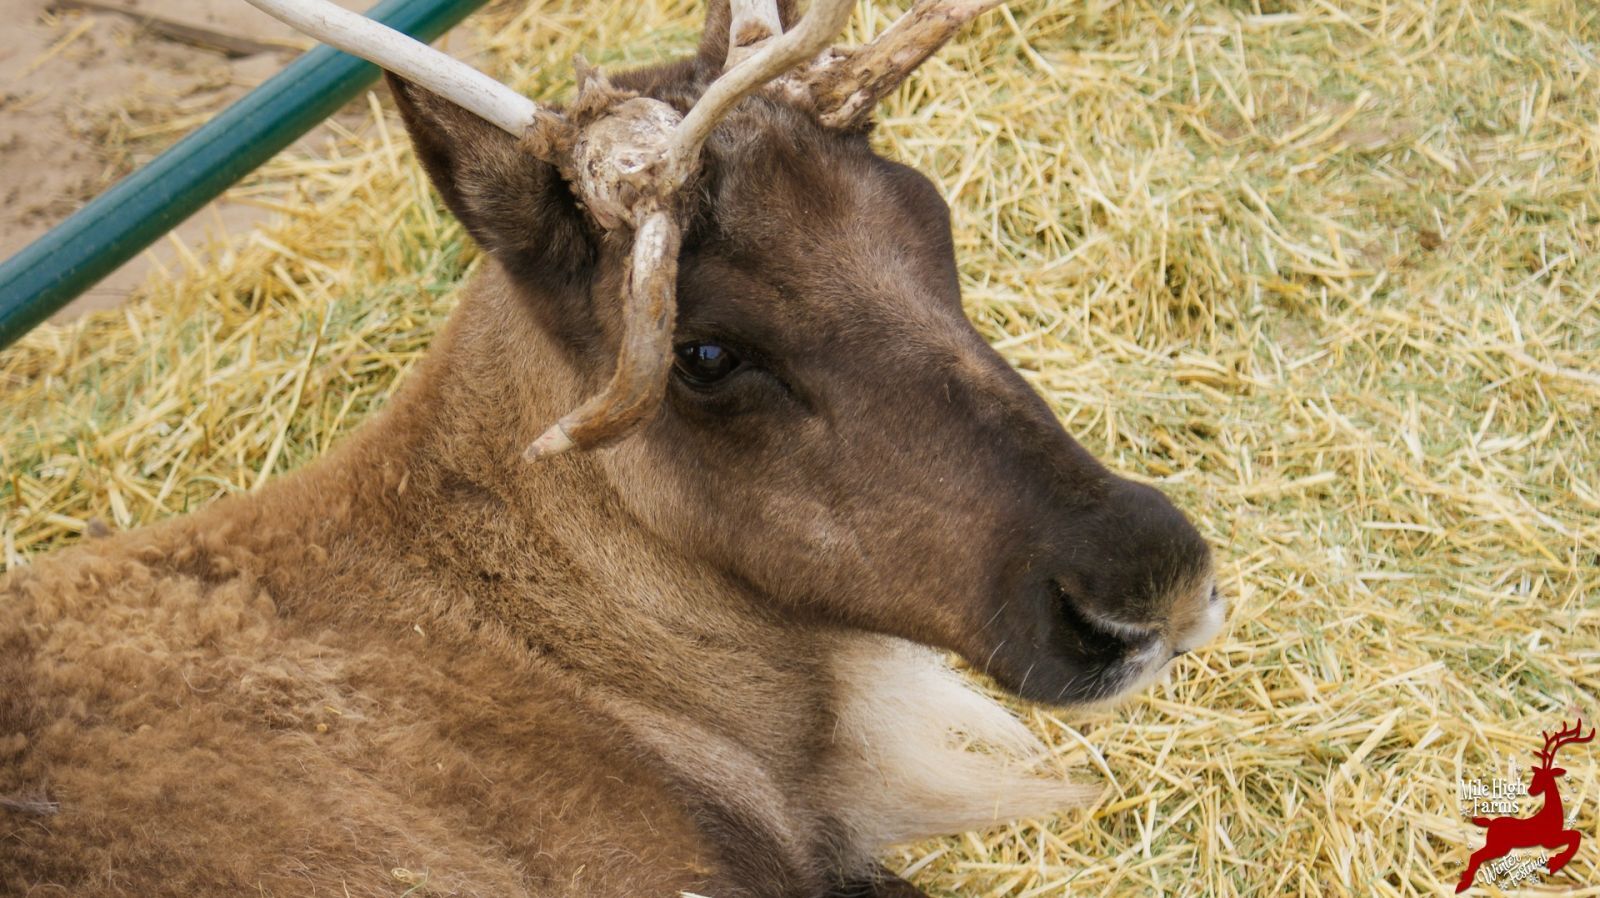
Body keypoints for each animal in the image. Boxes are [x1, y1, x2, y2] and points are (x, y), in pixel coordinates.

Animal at [1457, 719, 1594, 893]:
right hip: (1498, 846)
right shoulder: (1549, 840)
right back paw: (1463, 884)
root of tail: (1491, 823)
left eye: (1543, 776)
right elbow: (1575, 836)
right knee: (1476, 856)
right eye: (1536, 775)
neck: (1551, 812)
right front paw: (1556, 863)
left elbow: (1575, 836)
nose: (1531, 790)